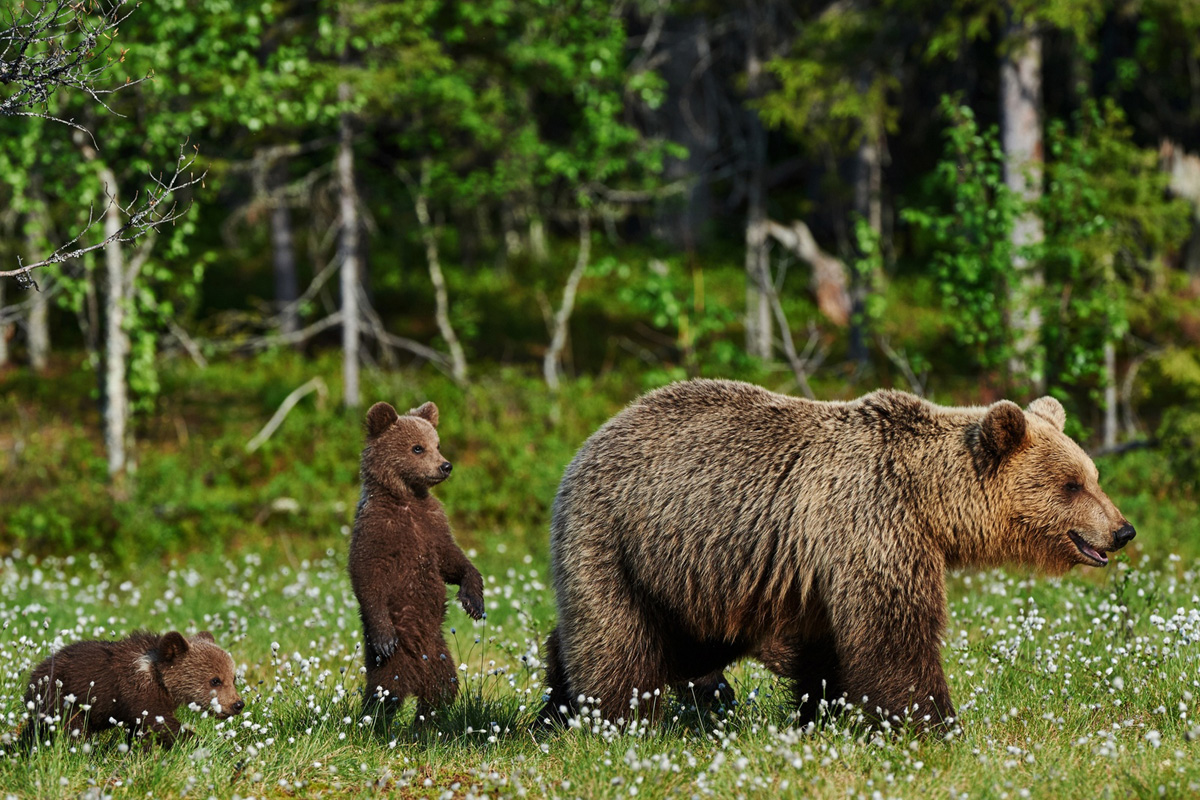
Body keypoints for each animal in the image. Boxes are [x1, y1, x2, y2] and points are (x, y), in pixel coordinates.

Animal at [21, 633, 242, 753]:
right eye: (215, 680)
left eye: (233, 678)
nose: (238, 704)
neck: (157, 679)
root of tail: (36, 672)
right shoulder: (137, 694)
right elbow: (160, 724)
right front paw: (200, 743)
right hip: (61, 699)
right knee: (72, 729)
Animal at [348, 402, 482, 724]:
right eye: (417, 448)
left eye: (437, 444)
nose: (445, 466)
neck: (407, 498)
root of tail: (416, 676)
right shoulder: (378, 529)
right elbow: (366, 574)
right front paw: (384, 636)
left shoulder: (432, 525)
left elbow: (452, 560)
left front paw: (473, 600)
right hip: (393, 661)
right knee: (385, 693)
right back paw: (374, 723)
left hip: (439, 655)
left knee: (443, 689)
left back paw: (425, 723)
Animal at [544, 381, 1132, 734]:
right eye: (1071, 484)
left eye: (1093, 476)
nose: (1121, 530)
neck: (929, 501)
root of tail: (592, 438)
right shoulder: (871, 522)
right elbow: (894, 635)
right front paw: (936, 726)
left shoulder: (818, 566)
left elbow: (827, 648)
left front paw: (823, 714)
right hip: (618, 539)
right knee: (617, 640)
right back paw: (611, 721)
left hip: (691, 576)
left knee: (678, 644)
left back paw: (554, 706)